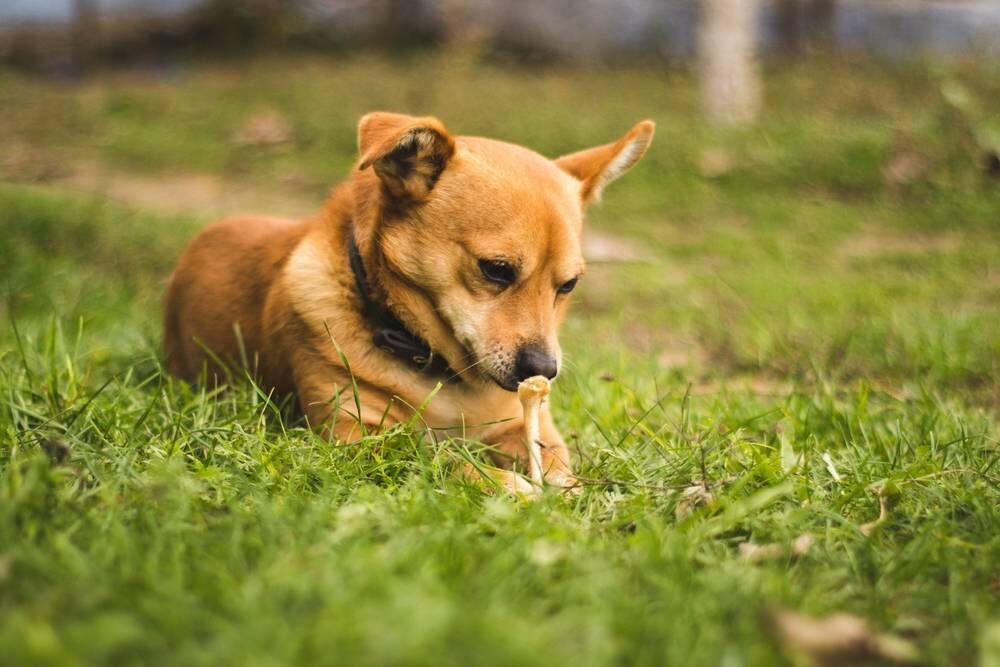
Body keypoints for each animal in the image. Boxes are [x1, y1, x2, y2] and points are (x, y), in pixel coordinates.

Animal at [166, 112, 656, 494]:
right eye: (496, 269)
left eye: (568, 286)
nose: (543, 371)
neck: (443, 372)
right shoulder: (353, 439)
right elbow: (436, 459)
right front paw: (502, 482)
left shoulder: (523, 425)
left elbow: (555, 459)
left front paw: (566, 486)